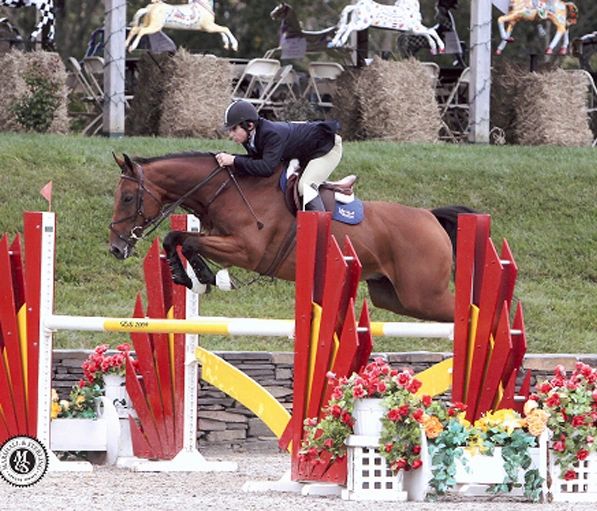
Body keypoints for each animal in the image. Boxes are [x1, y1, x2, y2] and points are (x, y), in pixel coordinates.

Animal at [107, 152, 472, 324]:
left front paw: (204, 276)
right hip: (394, 296)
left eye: (127, 197)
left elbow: (186, 239)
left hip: (422, 294)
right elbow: (178, 238)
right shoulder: (221, 238)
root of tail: (430, 218)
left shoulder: (247, 251)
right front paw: (192, 276)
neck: (229, 190)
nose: (115, 247)